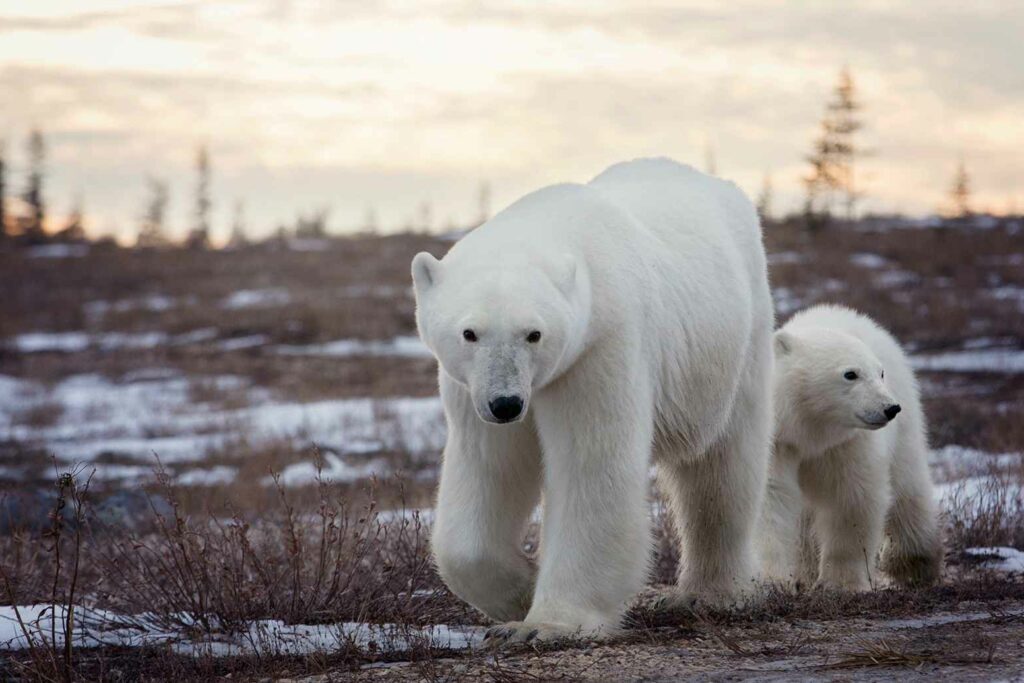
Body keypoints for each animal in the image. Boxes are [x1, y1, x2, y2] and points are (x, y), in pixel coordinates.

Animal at [411, 157, 770, 643]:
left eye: (534, 333)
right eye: (470, 332)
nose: (506, 404)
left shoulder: (598, 348)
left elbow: (590, 465)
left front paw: (544, 624)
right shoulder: (471, 389)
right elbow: (490, 467)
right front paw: (519, 593)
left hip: (735, 346)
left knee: (722, 467)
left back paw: (708, 594)